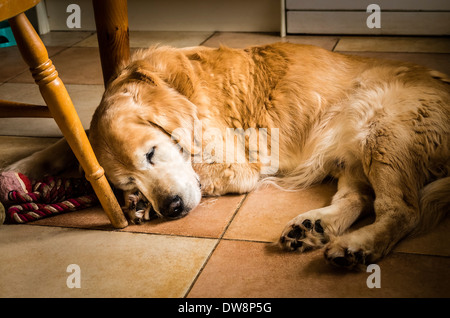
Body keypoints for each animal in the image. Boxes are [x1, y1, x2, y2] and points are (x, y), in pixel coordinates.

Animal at [7, 42, 450, 268]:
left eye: (151, 153)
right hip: (354, 147)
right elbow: (72, 140)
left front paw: (140, 206)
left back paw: (358, 246)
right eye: (125, 179)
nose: (171, 208)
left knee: (400, 209)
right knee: (358, 198)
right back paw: (314, 227)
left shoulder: (240, 166)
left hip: (381, 130)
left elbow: (203, 173)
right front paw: (18, 171)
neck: (168, 83)